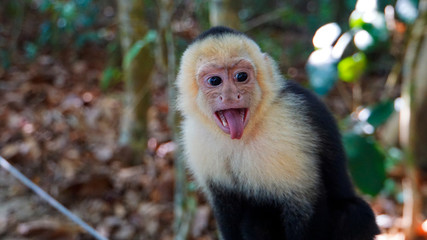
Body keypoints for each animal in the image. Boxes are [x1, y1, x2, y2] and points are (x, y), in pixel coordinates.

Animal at [176, 26, 380, 240]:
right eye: (215, 80)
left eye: (241, 77)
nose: (231, 95)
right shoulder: (194, 137)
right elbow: (225, 206)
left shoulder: (289, 123)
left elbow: (304, 207)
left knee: (355, 215)